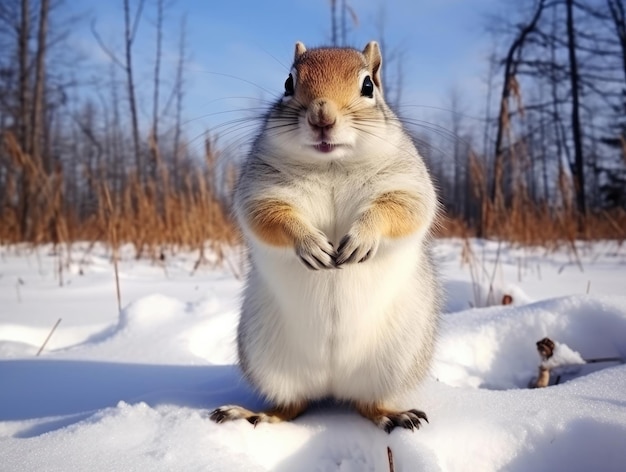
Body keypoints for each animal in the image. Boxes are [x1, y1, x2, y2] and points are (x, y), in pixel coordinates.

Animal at [210, 42, 438, 434]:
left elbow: (402, 210)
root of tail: (332, 384)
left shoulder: (406, 182)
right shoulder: (261, 190)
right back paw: (255, 415)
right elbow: (268, 216)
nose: (322, 116)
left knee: (368, 403)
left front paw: (362, 237)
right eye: (288, 82)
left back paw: (393, 415)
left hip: (397, 360)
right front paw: (311, 244)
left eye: (368, 86)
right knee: (292, 404)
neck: (331, 164)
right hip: (267, 360)